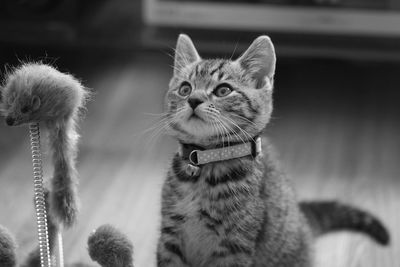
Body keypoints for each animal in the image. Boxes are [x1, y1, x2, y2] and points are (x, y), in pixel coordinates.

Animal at [157, 34, 390, 266]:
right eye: (185, 89)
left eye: (223, 90)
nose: (193, 99)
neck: (205, 164)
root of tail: (303, 219)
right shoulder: (169, 236)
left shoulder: (235, 245)